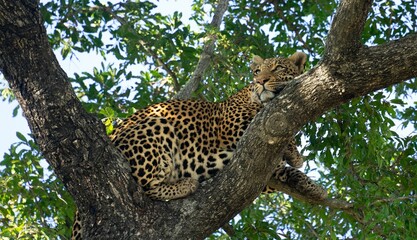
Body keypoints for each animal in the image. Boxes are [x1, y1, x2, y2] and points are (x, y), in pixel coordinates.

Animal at [70, 51, 326, 239]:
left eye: (278, 68)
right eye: (257, 71)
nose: (260, 81)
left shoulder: (263, 173)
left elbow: (282, 173)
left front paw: (312, 187)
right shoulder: (232, 124)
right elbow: (266, 125)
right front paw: (295, 154)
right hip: (157, 125)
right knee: (143, 188)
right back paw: (186, 184)